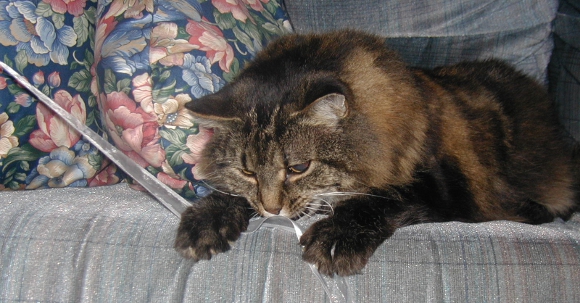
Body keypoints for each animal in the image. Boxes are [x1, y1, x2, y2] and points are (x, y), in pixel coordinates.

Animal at [176, 30, 580, 278]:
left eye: (299, 167)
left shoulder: (446, 189)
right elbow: (233, 196)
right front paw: (206, 219)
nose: (273, 211)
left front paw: (335, 236)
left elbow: (380, 199)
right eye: (247, 171)